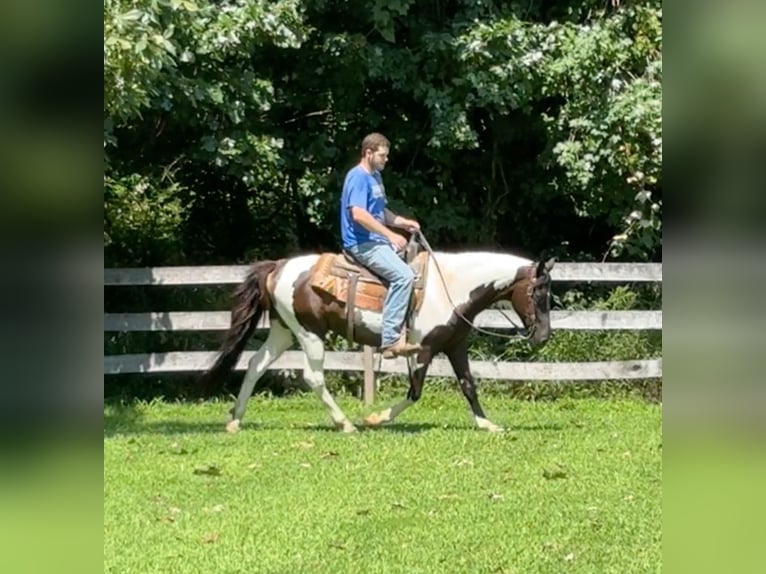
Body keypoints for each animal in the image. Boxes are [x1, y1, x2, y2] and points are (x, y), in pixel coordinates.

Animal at [204, 241, 556, 434]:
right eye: (539, 292)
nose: (543, 336)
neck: (452, 287)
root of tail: (278, 267)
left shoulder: (455, 345)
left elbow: (468, 385)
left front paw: (487, 424)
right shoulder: (423, 348)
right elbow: (415, 392)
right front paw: (376, 418)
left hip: (283, 330)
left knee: (255, 365)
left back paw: (235, 420)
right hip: (309, 332)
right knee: (313, 377)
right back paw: (346, 424)